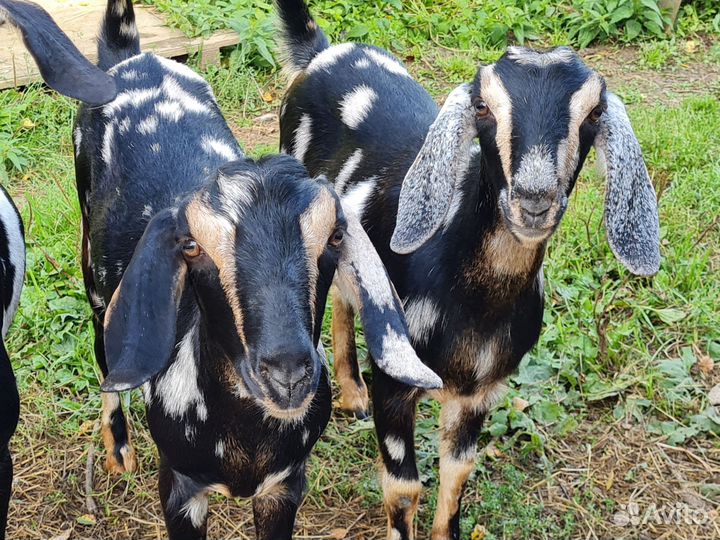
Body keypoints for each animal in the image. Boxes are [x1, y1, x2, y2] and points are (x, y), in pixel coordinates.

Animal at [74, 1, 440, 538]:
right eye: (191, 245)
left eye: (334, 236)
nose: (286, 373)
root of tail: (132, 56)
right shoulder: (179, 487)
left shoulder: (284, 484)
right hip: (93, 271)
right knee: (104, 349)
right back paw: (118, 450)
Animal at [275, 1, 660, 538]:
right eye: (482, 107)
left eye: (594, 112)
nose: (534, 199)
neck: (472, 301)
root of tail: (322, 50)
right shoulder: (396, 382)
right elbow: (403, 487)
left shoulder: (481, 391)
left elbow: (458, 471)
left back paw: (351, 394)